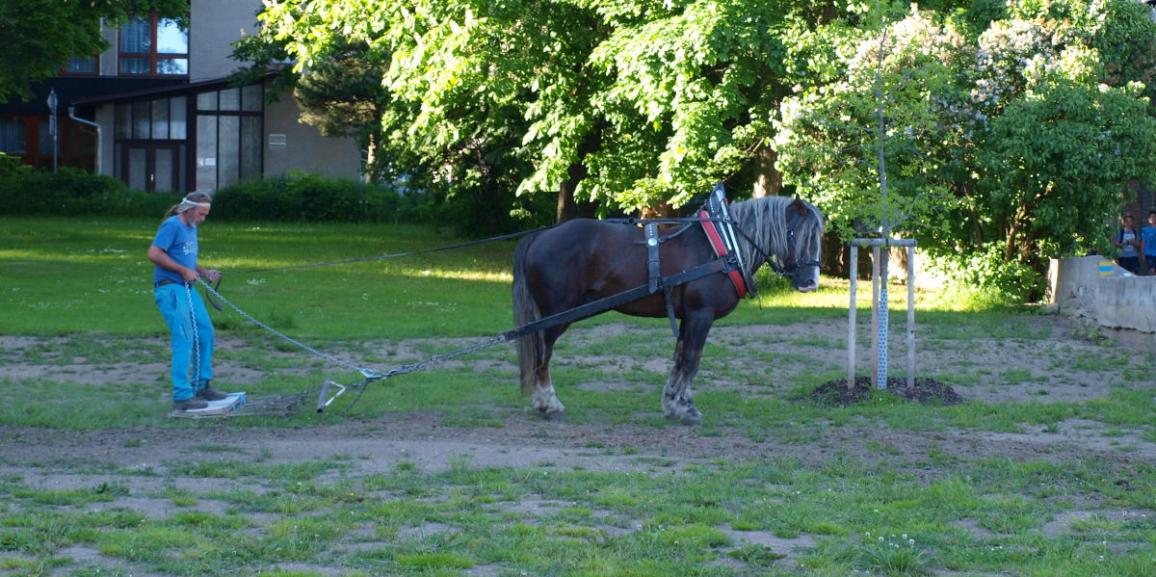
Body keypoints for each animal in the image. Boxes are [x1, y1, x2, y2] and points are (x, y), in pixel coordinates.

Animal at [513, 195, 823, 425]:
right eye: (798, 233)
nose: (811, 282)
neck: (721, 248)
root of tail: (540, 236)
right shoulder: (701, 315)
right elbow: (691, 360)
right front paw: (686, 408)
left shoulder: (688, 318)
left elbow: (679, 359)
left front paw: (673, 403)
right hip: (555, 316)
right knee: (543, 355)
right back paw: (548, 403)